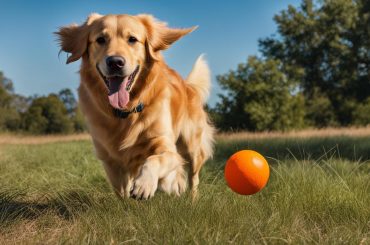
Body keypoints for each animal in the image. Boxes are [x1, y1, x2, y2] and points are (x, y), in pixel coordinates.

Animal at [57, 13, 214, 199]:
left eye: (132, 39)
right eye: (100, 39)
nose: (115, 62)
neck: (125, 113)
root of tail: (188, 85)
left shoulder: (167, 147)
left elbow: (155, 159)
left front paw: (146, 184)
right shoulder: (110, 160)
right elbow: (122, 192)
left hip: (192, 147)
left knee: (193, 178)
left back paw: (191, 198)